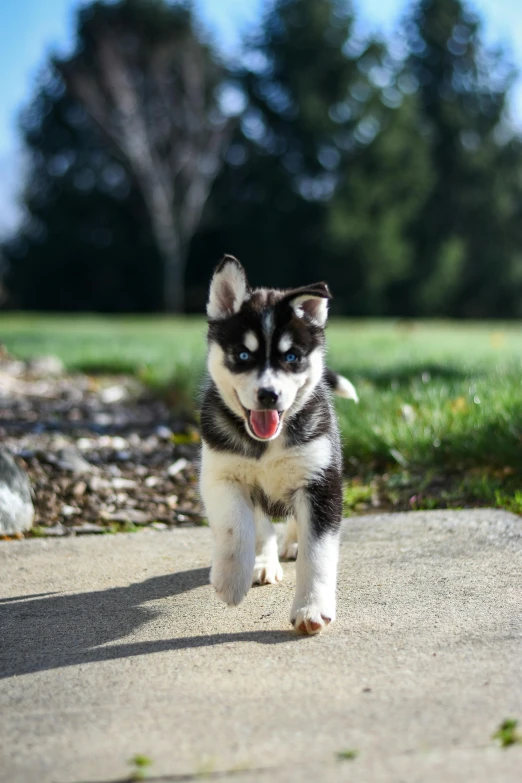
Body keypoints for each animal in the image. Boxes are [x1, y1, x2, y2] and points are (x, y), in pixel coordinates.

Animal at [199, 258, 358, 636]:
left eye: (292, 357)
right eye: (243, 354)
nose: (268, 395)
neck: (266, 446)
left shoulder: (321, 481)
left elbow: (318, 553)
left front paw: (312, 608)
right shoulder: (220, 476)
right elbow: (236, 525)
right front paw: (232, 580)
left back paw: (292, 544)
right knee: (259, 524)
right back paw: (263, 562)